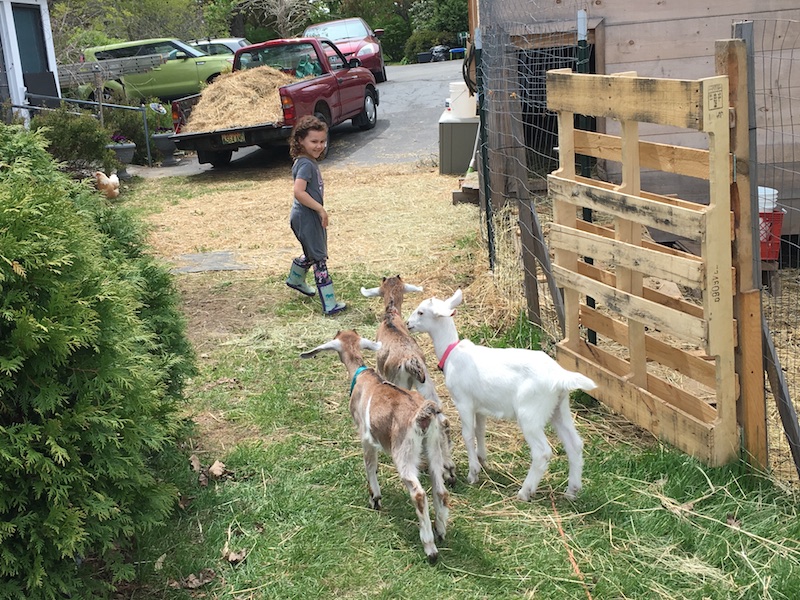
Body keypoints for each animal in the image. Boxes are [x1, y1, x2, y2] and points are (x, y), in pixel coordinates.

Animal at [300, 329, 450, 563]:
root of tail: (422, 415)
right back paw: (440, 530)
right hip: (433, 446)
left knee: (418, 494)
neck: (363, 377)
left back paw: (430, 547)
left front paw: (375, 498)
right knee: (440, 489)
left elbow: (370, 464)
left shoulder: (365, 435)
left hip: (404, 451)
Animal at [361, 275, 456, 485]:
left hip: (400, 383)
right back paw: (448, 469)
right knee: (443, 419)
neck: (390, 317)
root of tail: (410, 360)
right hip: (426, 383)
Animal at [406, 289, 598, 501]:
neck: (452, 353)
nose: (407, 323)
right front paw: (482, 460)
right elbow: (480, 431)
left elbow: (467, 434)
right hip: (559, 408)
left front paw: (473, 473)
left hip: (530, 413)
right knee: (575, 444)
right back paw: (572, 491)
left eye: (421, 312)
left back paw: (524, 492)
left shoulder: (464, 402)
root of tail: (560, 376)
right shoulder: (480, 406)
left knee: (542, 452)